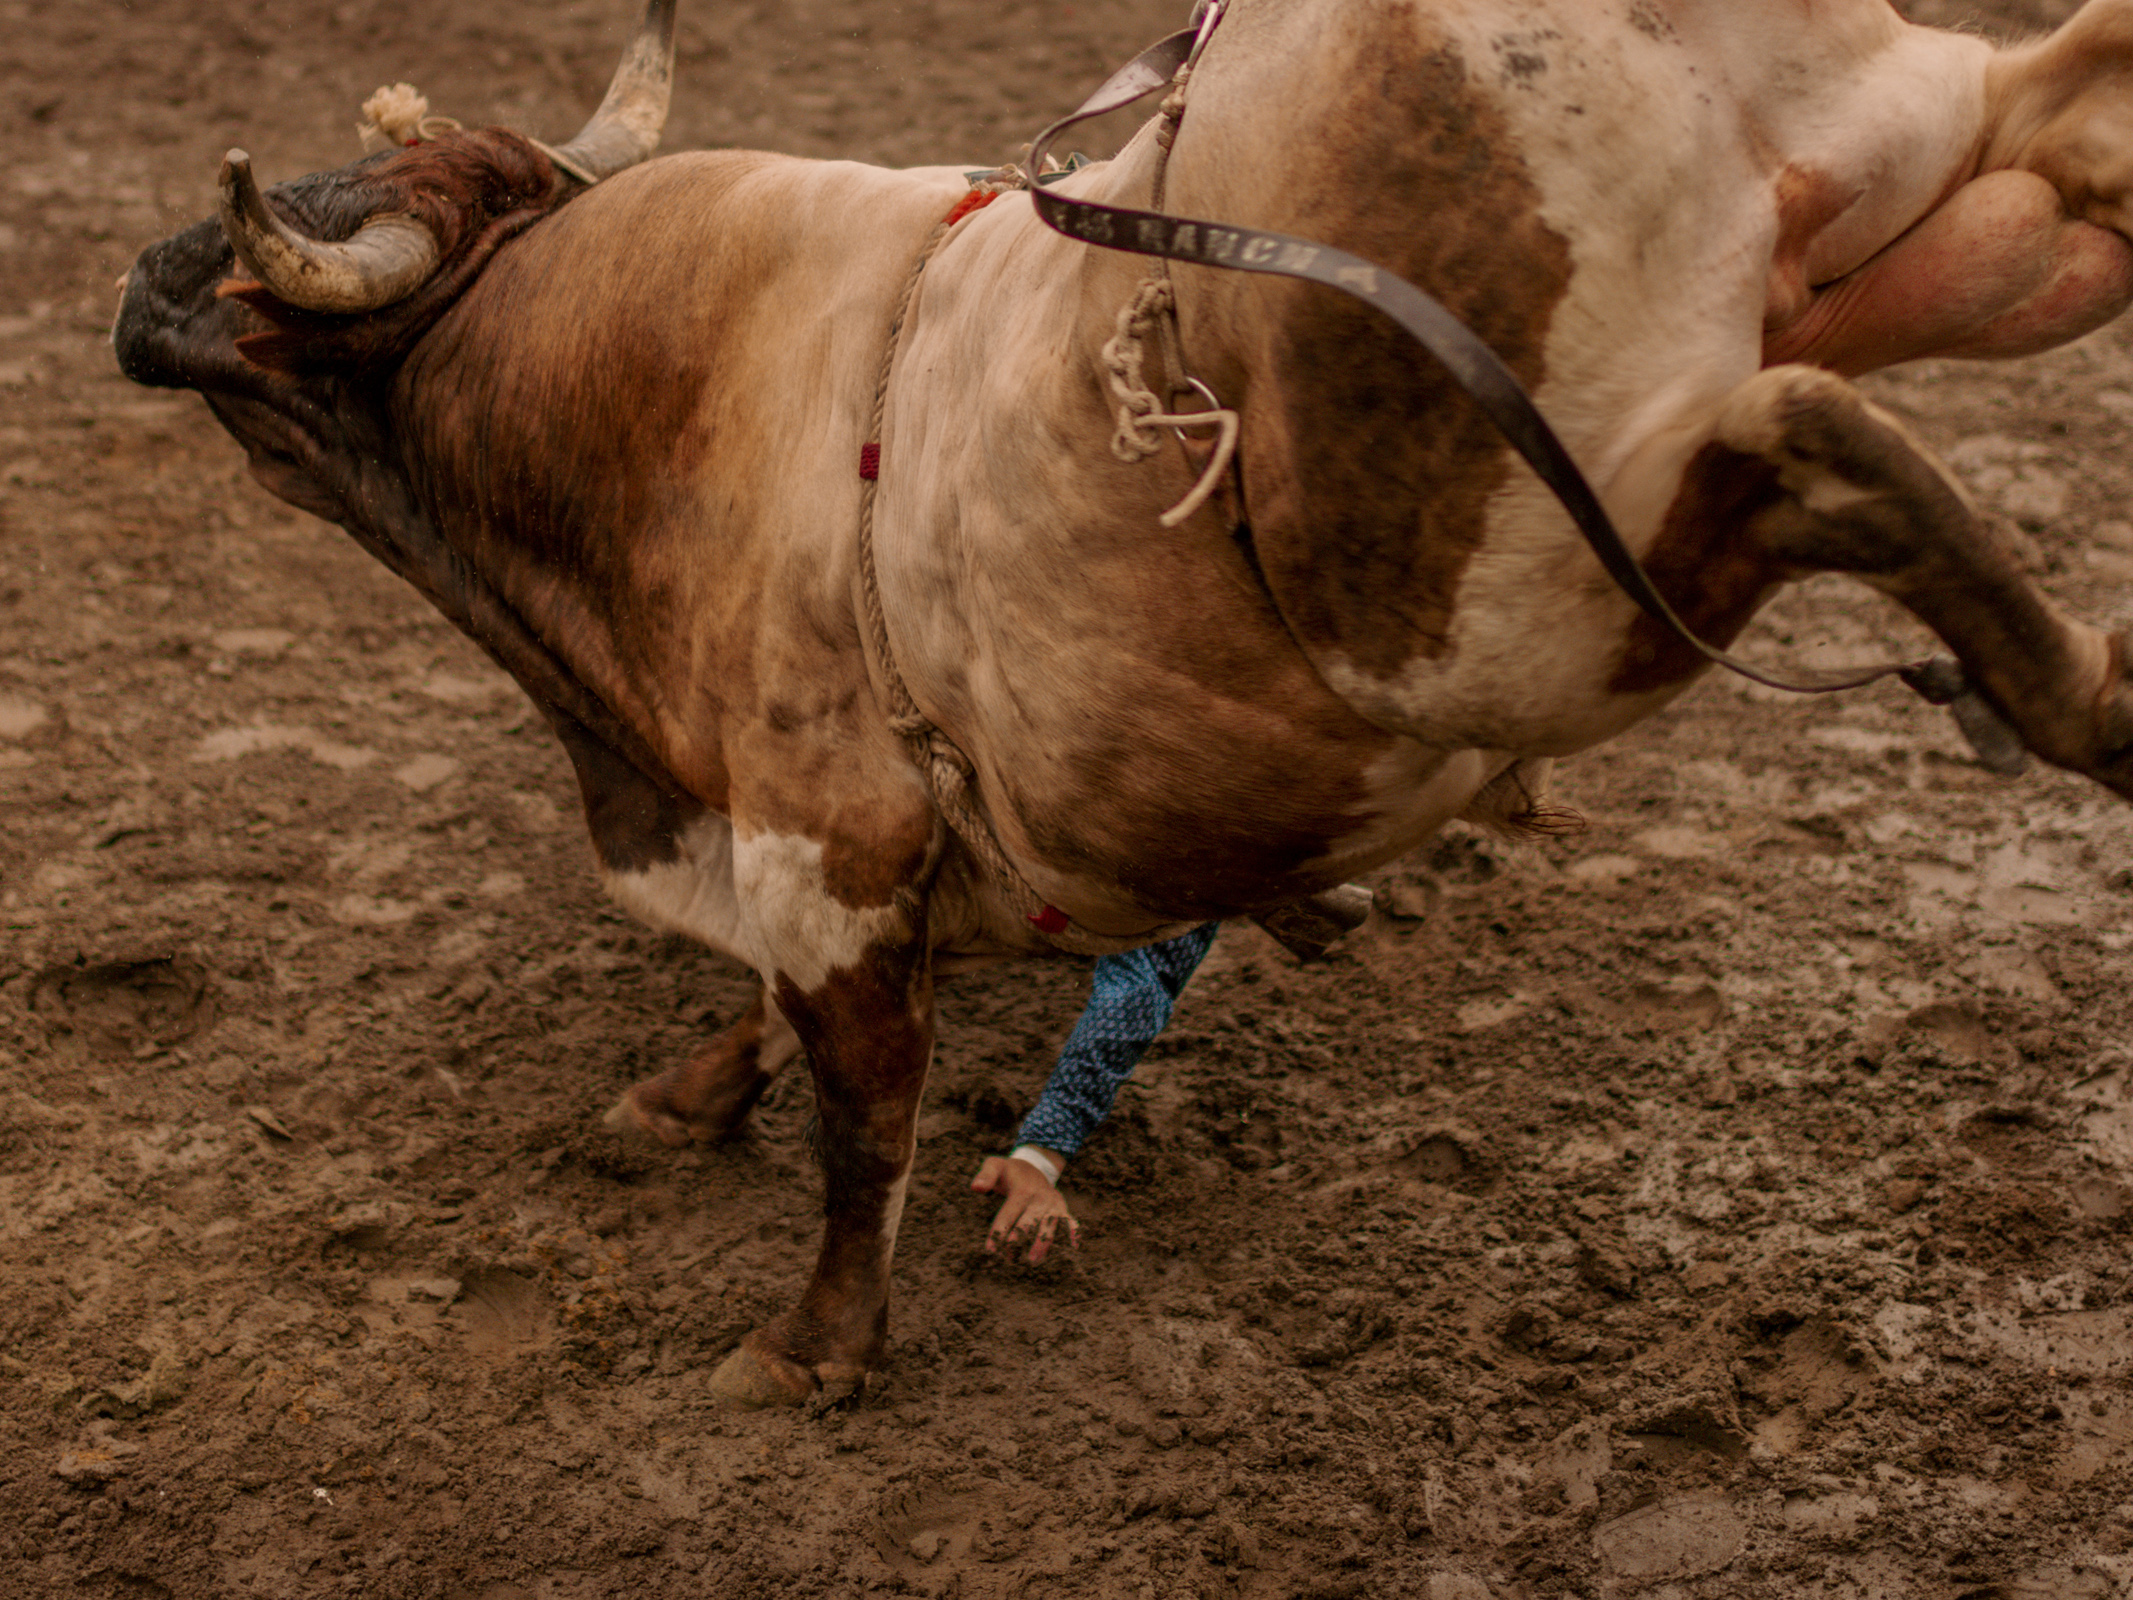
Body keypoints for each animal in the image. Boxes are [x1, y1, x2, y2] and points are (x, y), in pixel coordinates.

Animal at [114, 0, 2133, 1408]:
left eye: (263, 275)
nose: (139, 279)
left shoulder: (823, 833)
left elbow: (861, 1109)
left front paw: (811, 1351)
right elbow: (779, 1021)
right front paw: (682, 1097)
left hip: (1501, 589)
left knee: (1799, 443)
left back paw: (2072, 690)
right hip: (1938, 207)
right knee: (2064, 125)